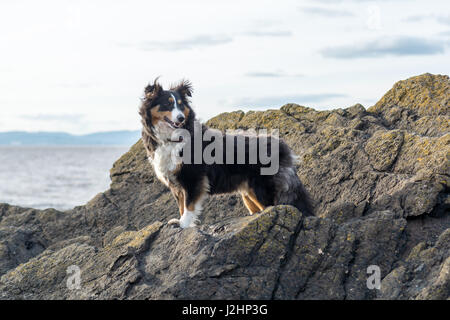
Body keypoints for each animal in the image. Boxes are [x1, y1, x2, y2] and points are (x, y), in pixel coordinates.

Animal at [138, 78, 312, 229]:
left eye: (181, 106)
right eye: (167, 104)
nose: (180, 118)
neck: (172, 137)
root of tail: (283, 147)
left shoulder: (192, 178)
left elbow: (188, 205)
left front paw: (184, 224)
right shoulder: (176, 183)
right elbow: (181, 205)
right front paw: (181, 222)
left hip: (262, 189)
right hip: (249, 193)